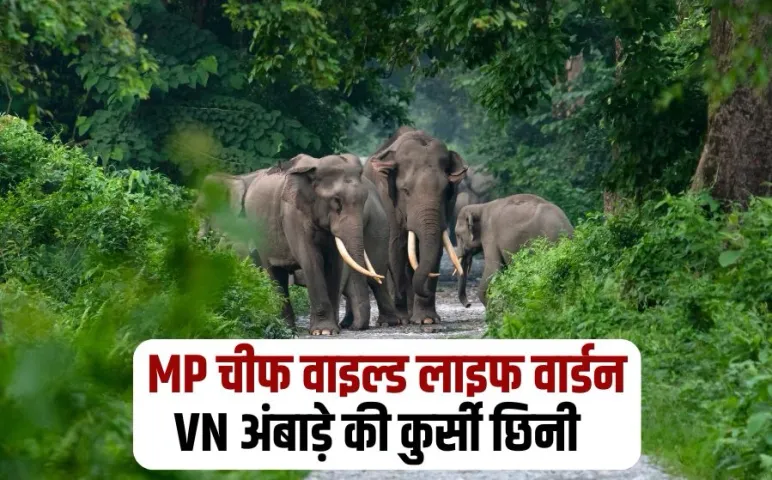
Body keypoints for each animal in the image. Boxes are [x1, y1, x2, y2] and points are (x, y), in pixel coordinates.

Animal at [243, 153, 383, 335]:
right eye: (336, 201)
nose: (354, 327)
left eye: (364, 199)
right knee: (275, 273)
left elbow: (334, 263)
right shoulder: (293, 215)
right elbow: (311, 259)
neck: (314, 168)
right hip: (260, 236)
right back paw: (288, 329)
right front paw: (323, 331)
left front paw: (332, 330)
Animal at [363, 126, 467, 325]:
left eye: (446, 191)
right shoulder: (386, 199)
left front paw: (427, 320)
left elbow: (435, 250)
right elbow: (395, 247)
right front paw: (403, 319)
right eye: (406, 191)